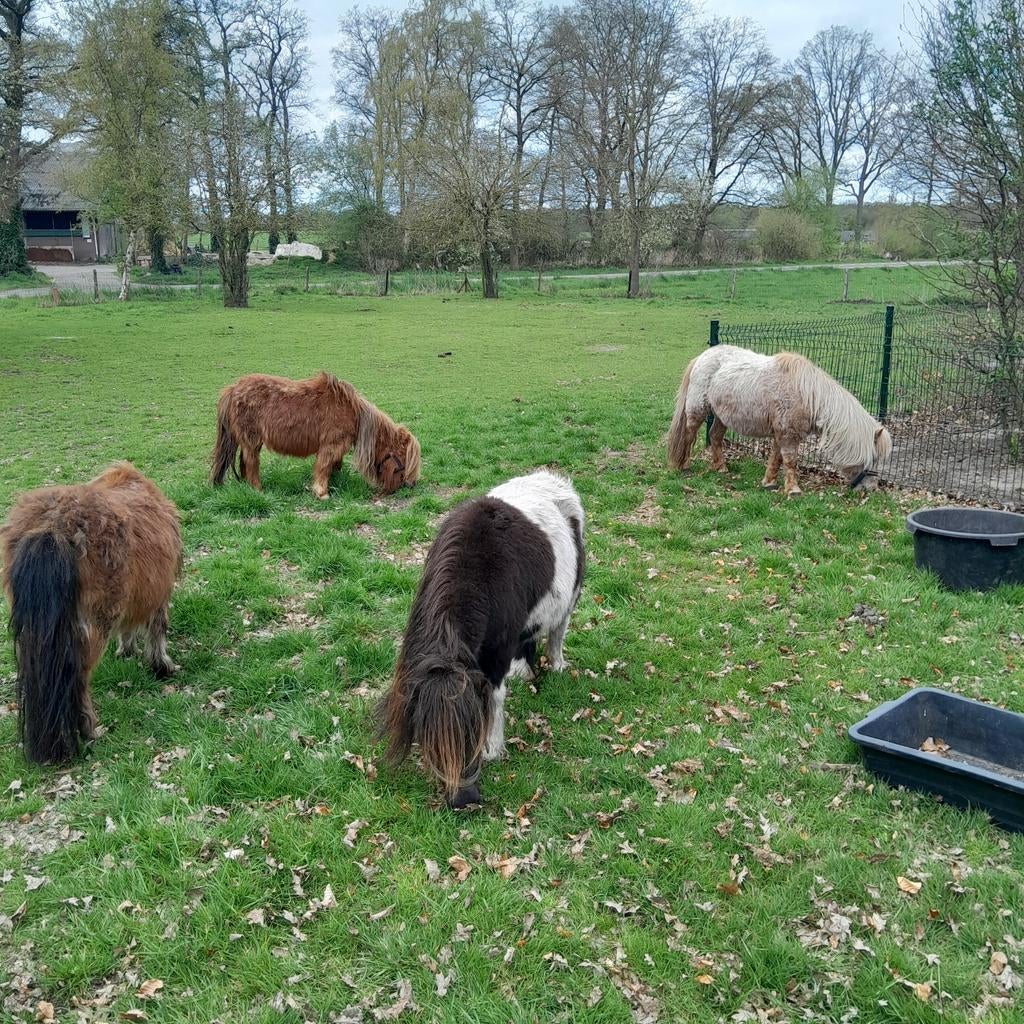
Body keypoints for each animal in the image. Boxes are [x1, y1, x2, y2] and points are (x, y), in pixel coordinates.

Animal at [2, 463, 181, 763]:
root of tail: (52, 528)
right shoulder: (159, 594)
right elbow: (157, 630)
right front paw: (162, 666)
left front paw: (127, 650)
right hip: (92, 628)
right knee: (79, 678)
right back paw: (91, 731)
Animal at [210, 372, 421, 498]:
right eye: (403, 460)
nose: (410, 485)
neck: (353, 412)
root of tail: (233, 389)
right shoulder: (331, 445)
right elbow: (323, 467)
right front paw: (322, 493)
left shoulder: (336, 447)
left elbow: (334, 466)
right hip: (251, 441)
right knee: (251, 463)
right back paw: (257, 490)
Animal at [377, 470, 585, 809]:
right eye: (431, 739)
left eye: (472, 730)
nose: (465, 800)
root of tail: (548, 477)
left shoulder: (497, 651)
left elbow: (495, 696)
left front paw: (493, 749)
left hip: (571, 595)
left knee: (557, 632)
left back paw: (557, 667)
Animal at [667, 345, 893, 496]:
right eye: (873, 458)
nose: (872, 488)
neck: (808, 395)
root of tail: (702, 357)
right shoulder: (787, 434)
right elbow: (790, 460)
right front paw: (793, 490)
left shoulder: (781, 433)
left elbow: (776, 459)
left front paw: (769, 482)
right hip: (698, 410)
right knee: (689, 435)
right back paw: (684, 465)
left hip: (722, 416)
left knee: (714, 437)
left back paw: (721, 467)